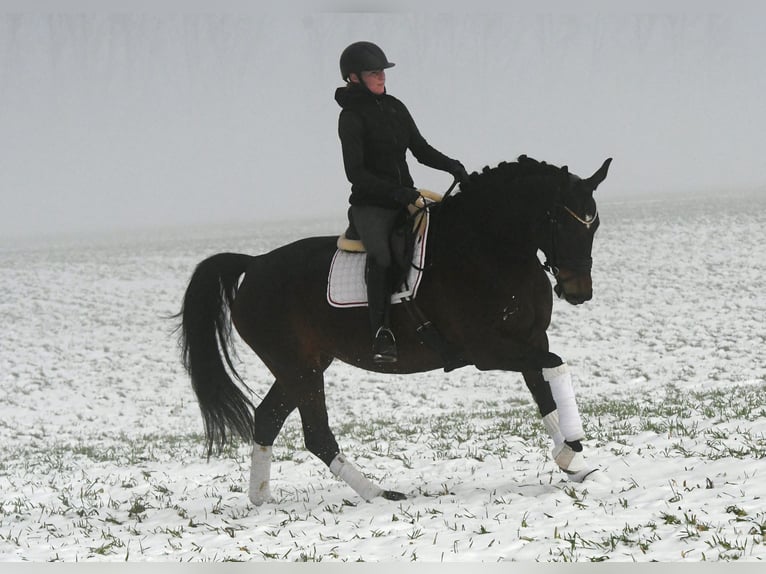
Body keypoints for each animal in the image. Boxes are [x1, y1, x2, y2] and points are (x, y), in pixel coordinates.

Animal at [177, 154, 612, 503]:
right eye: (561, 221)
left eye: (594, 226)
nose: (580, 291)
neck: (488, 247)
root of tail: (253, 264)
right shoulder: (488, 351)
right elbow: (556, 366)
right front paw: (573, 445)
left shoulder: (530, 338)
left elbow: (544, 392)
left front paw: (572, 462)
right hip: (297, 368)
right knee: (316, 433)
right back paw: (379, 494)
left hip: (302, 365)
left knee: (267, 419)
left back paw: (261, 499)